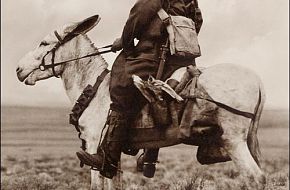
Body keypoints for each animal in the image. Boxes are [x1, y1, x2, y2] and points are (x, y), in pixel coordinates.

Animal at [15, 15, 266, 190]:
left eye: (43, 43)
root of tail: (257, 80)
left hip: (233, 140)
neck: (94, 88)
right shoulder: (110, 157)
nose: (18, 69)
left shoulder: (94, 147)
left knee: (255, 178)